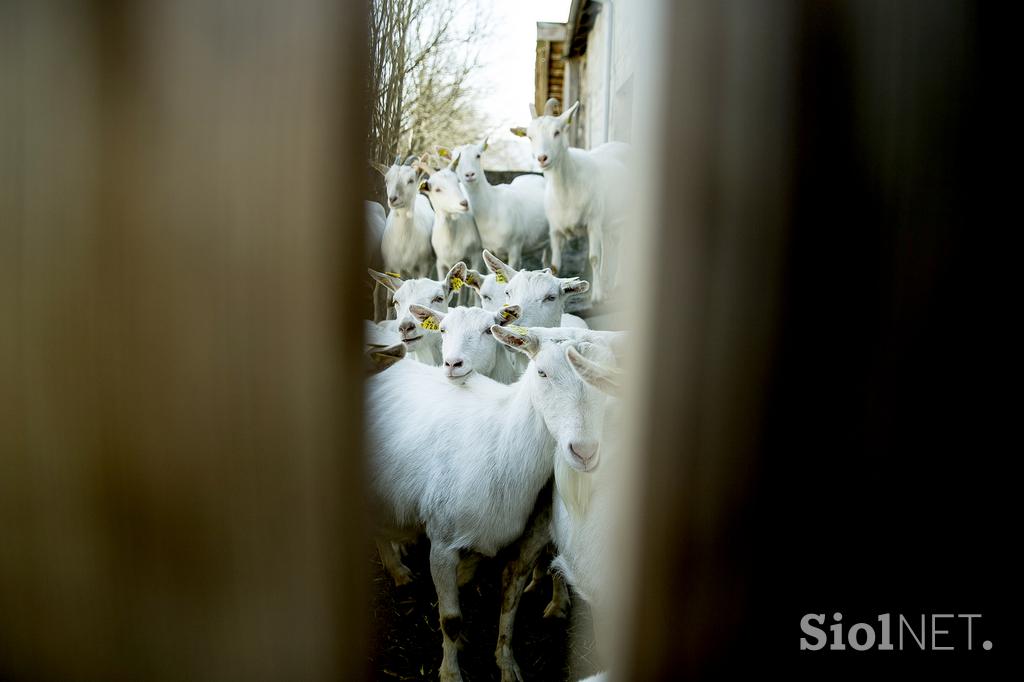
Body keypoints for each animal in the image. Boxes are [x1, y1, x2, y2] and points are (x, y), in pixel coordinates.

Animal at [366, 327, 610, 675]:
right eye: (541, 372)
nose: (585, 451)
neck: (501, 442)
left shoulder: (512, 540)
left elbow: (507, 602)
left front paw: (506, 663)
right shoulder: (442, 543)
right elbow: (451, 619)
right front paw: (450, 672)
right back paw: (398, 570)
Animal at [509, 98, 626, 303]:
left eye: (557, 132)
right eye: (530, 136)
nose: (542, 158)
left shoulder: (593, 222)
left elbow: (594, 257)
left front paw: (596, 296)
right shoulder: (555, 231)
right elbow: (555, 265)